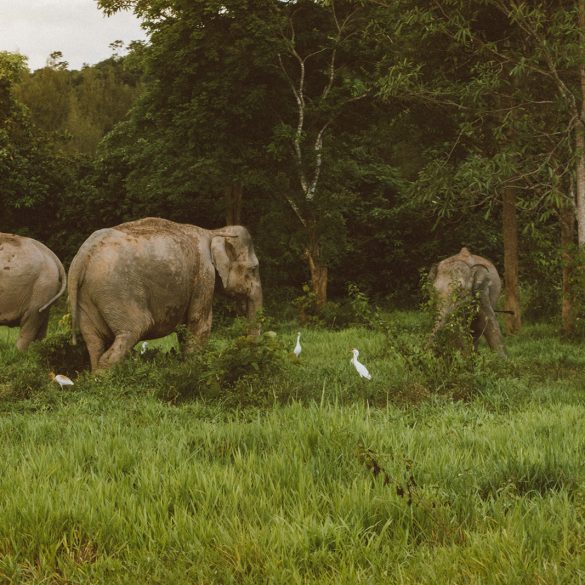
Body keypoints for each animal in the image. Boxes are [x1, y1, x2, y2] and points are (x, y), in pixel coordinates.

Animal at [66, 214, 264, 370]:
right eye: (254, 269)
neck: (214, 231)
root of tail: (83, 255)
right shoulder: (204, 273)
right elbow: (198, 323)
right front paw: (192, 369)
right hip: (116, 290)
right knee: (134, 329)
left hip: (87, 295)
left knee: (95, 342)